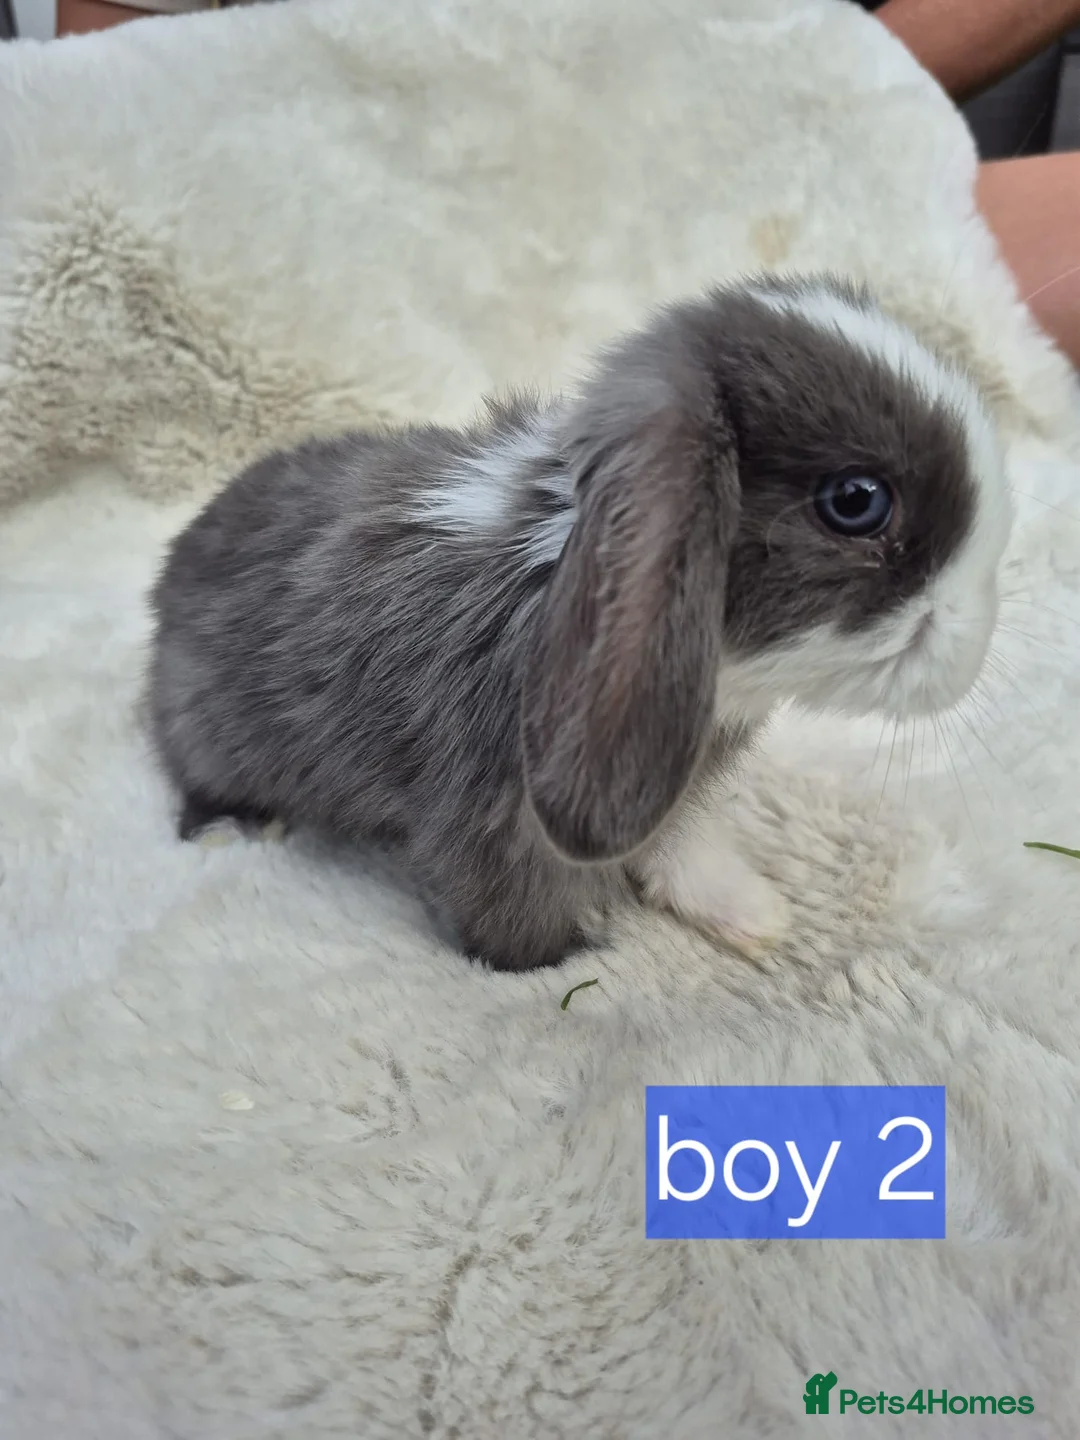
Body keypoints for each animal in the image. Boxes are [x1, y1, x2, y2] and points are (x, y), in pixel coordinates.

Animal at [146, 273, 1011, 972]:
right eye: (857, 502)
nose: (973, 646)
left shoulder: (667, 788)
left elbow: (683, 848)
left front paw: (754, 914)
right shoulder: (494, 820)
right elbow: (510, 913)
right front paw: (569, 960)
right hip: (209, 729)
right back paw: (232, 827)